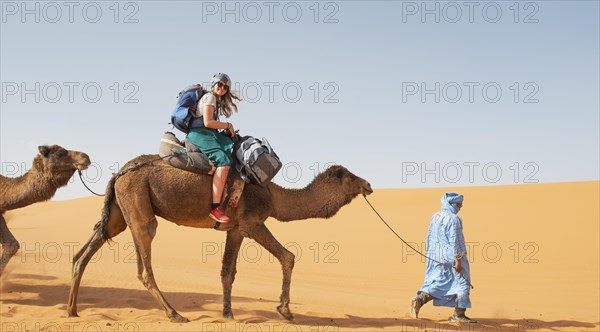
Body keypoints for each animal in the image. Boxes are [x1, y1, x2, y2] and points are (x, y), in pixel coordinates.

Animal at [68, 154, 372, 322]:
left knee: (84, 253)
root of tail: (118, 174)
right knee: (144, 263)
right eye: (349, 177)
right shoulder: (253, 222)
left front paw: (228, 314)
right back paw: (175, 314)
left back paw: (72, 310)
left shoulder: (235, 229)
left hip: (118, 214)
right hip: (138, 207)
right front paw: (285, 310)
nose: (368, 184)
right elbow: (289, 256)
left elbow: (228, 271)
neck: (275, 197)